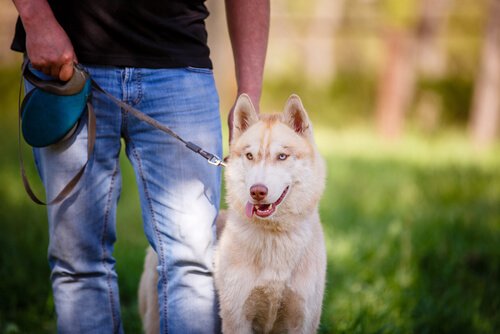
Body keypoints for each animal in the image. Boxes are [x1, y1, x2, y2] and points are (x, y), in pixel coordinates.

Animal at [216, 94, 328, 334]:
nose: (257, 191)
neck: (274, 235)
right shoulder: (237, 319)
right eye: (250, 155)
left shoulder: (303, 319)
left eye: (282, 156)